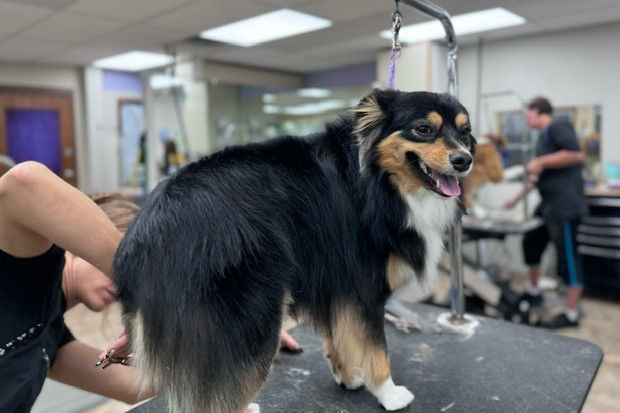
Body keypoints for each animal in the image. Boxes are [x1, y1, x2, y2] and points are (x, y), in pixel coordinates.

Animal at [114, 88, 478, 410]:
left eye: (465, 132)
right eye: (423, 129)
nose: (465, 160)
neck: (377, 179)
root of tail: (147, 233)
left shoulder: (337, 281)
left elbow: (342, 336)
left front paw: (347, 376)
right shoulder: (365, 285)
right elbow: (376, 349)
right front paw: (389, 394)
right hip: (253, 319)